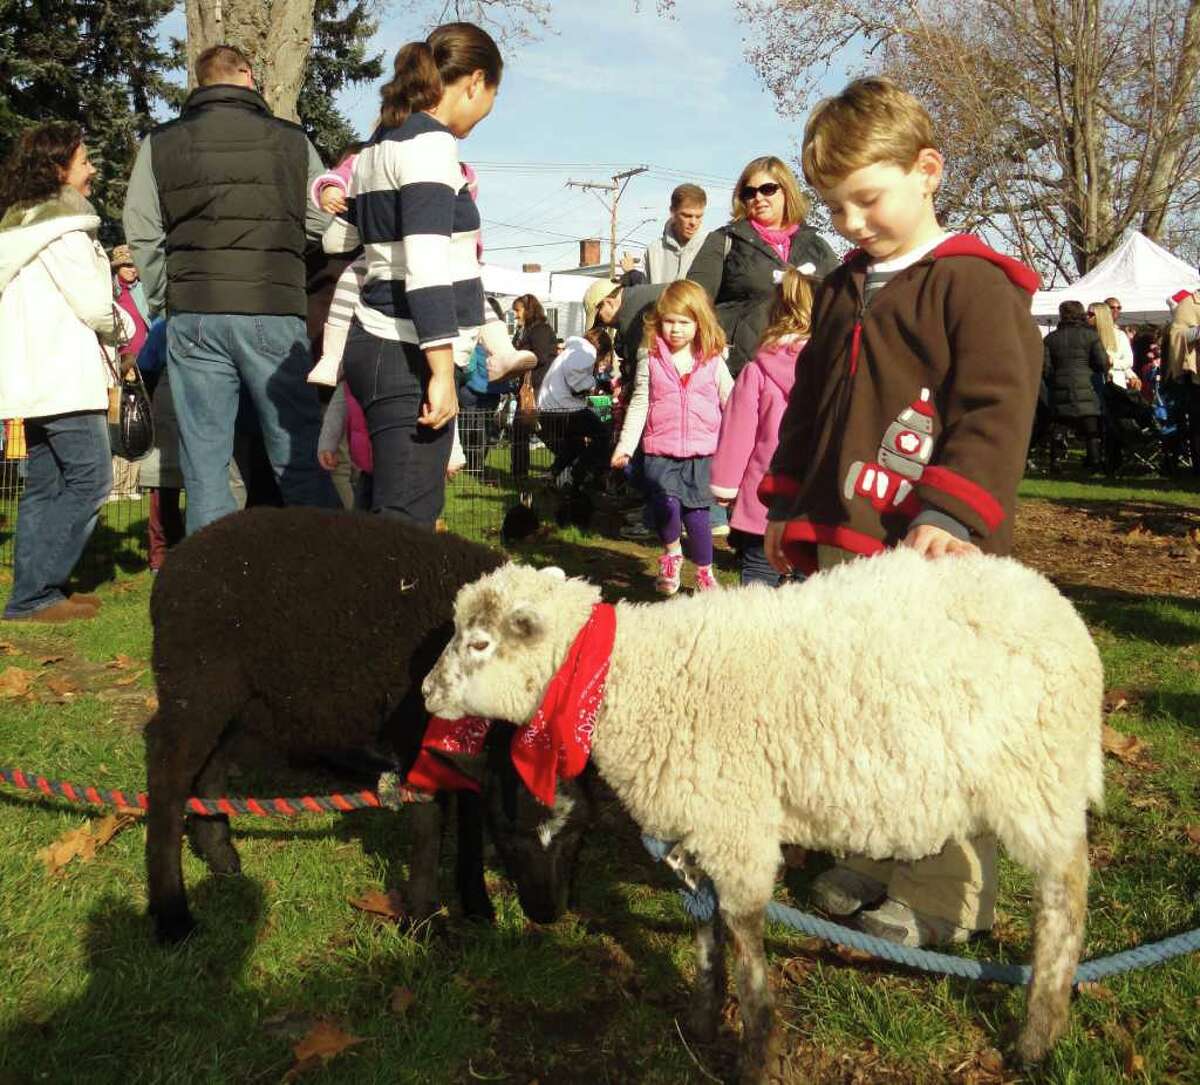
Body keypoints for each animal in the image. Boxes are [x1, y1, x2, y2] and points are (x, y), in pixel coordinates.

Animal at [142, 508, 588, 940]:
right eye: (511, 833)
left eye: (576, 836)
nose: (547, 914)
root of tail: (175, 563)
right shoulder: (413, 731)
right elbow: (429, 824)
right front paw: (424, 920)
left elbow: (470, 810)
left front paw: (477, 904)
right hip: (196, 680)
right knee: (168, 772)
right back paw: (172, 915)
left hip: (245, 699)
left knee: (212, 764)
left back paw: (220, 856)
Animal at [422, 552, 1104, 1085]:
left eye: (479, 643)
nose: (427, 692)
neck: (628, 681)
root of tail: (1061, 614)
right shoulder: (697, 821)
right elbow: (703, 926)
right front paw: (701, 1017)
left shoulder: (736, 823)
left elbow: (745, 933)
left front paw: (755, 1051)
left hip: (1038, 779)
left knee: (1065, 894)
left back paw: (1038, 1034)